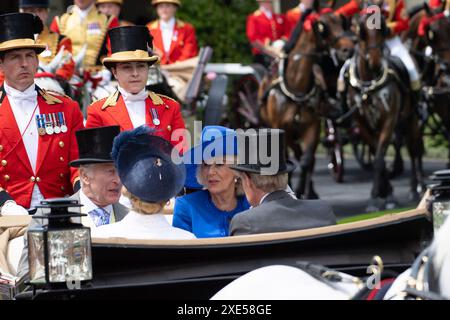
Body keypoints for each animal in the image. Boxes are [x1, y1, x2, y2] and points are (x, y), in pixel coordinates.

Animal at [346, 12, 424, 211]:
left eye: (383, 29)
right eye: (361, 31)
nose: (374, 62)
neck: (368, 85)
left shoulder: (388, 121)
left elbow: (380, 158)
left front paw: (379, 197)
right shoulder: (363, 126)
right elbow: (376, 156)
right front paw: (384, 192)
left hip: (411, 118)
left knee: (413, 150)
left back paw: (416, 188)